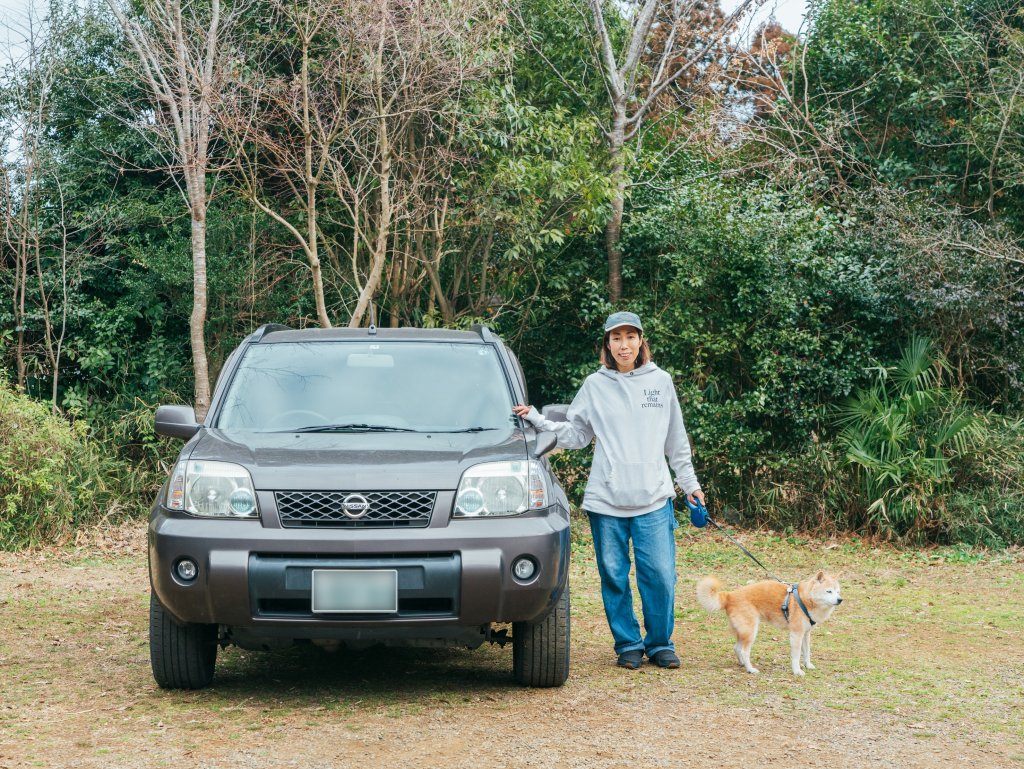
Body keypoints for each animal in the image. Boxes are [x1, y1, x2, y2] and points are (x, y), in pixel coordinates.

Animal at [696, 573, 847, 671]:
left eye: (838, 591)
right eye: (829, 591)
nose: (840, 600)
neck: (805, 599)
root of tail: (730, 595)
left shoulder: (805, 634)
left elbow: (807, 652)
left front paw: (808, 665)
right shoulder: (796, 634)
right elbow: (796, 655)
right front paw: (797, 671)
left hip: (743, 631)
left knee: (737, 648)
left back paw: (742, 664)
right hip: (751, 631)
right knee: (744, 651)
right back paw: (750, 669)